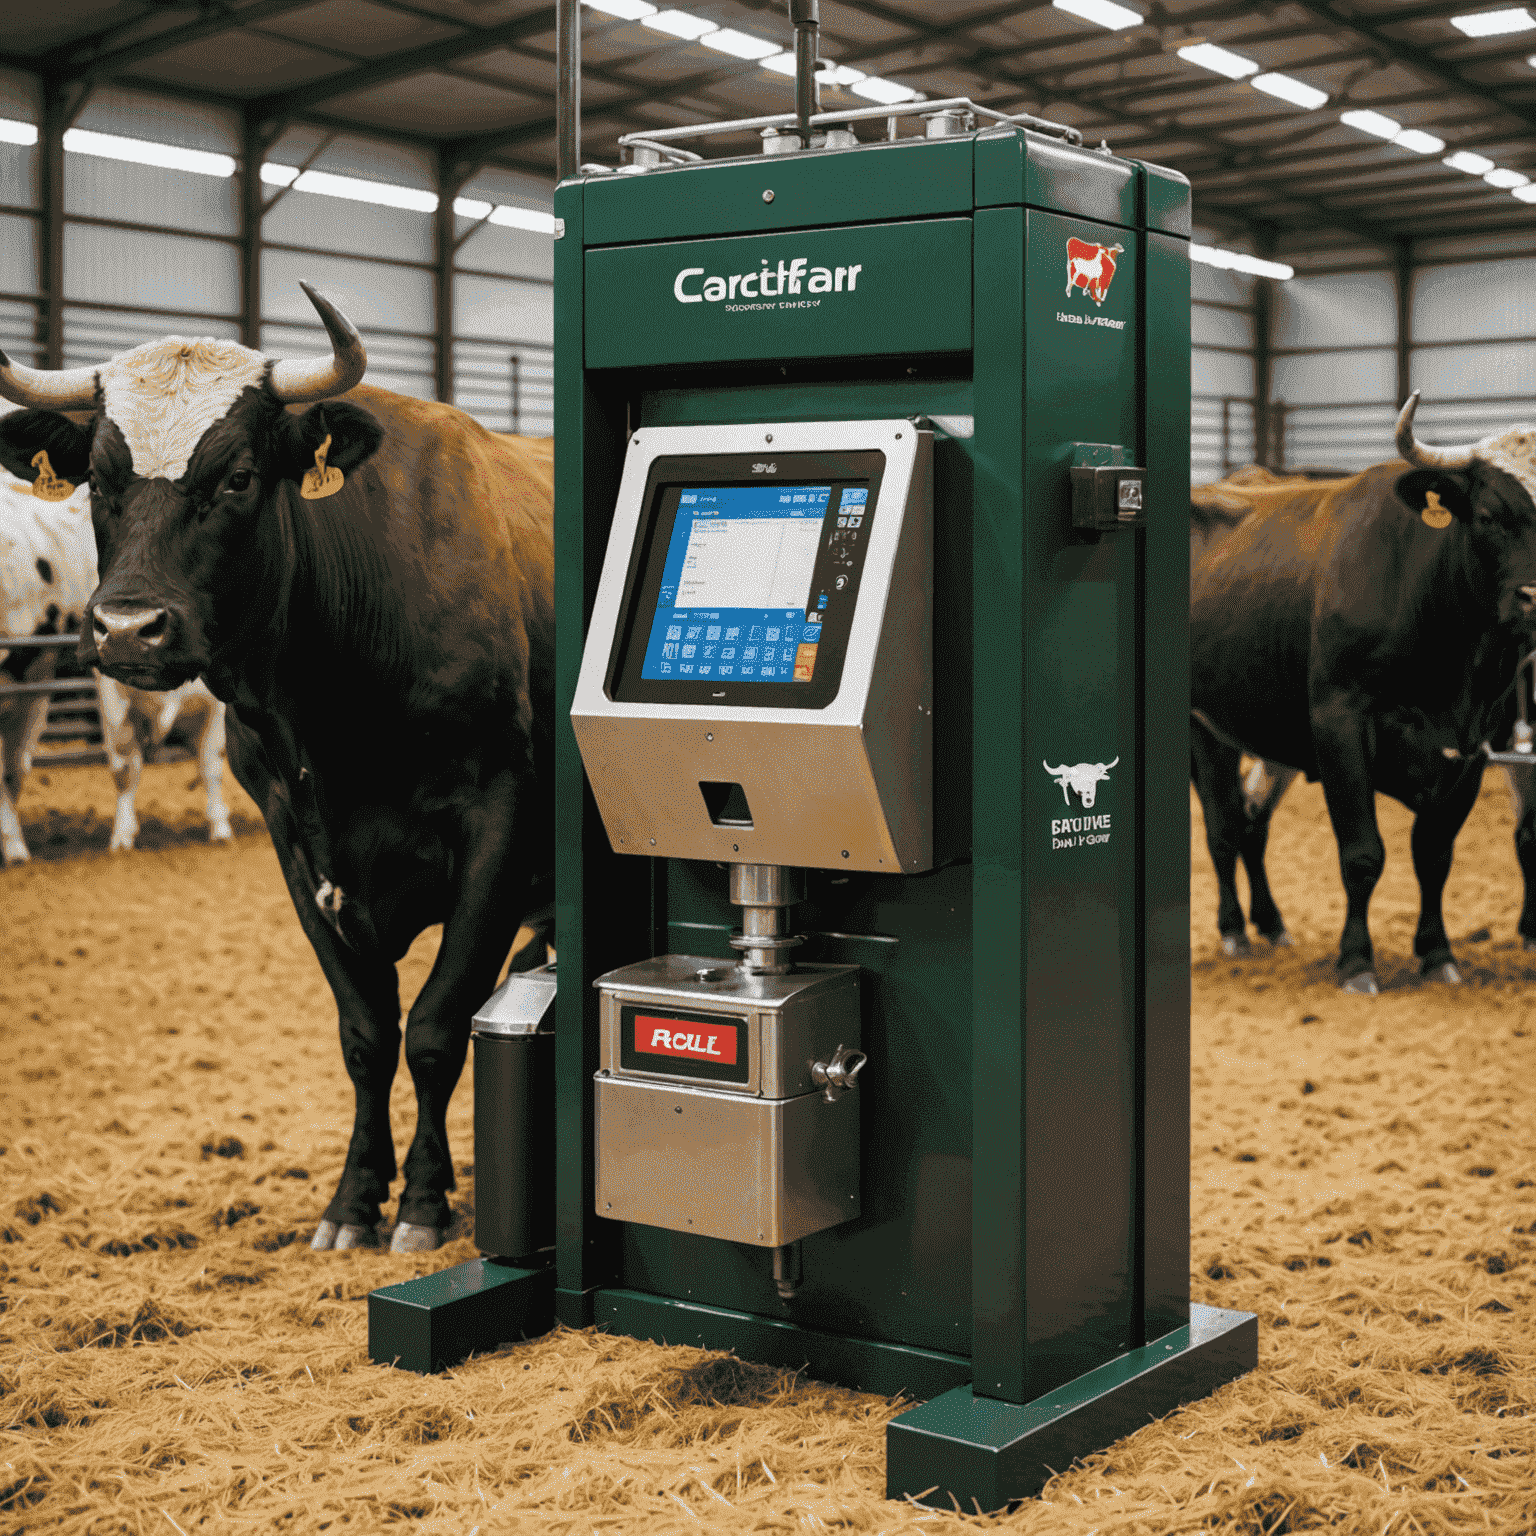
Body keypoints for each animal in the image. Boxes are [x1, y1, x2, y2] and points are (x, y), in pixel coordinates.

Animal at [0, 285, 552, 1247]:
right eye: (100, 482)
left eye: (238, 477)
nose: (127, 627)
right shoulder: (299, 849)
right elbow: (366, 1035)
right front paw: (353, 1202)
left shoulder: (500, 828)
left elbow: (437, 1026)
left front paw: (422, 1204)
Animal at [1191, 396, 1536, 995]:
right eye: (1489, 515)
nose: (1535, 597)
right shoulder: (1340, 724)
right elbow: (1362, 854)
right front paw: (1356, 963)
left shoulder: (1474, 745)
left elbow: (1434, 856)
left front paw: (1437, 955)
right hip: (1202, 727)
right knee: (1222, 828)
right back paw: (1234, 930)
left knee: (1250, 820)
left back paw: (1271, 924)